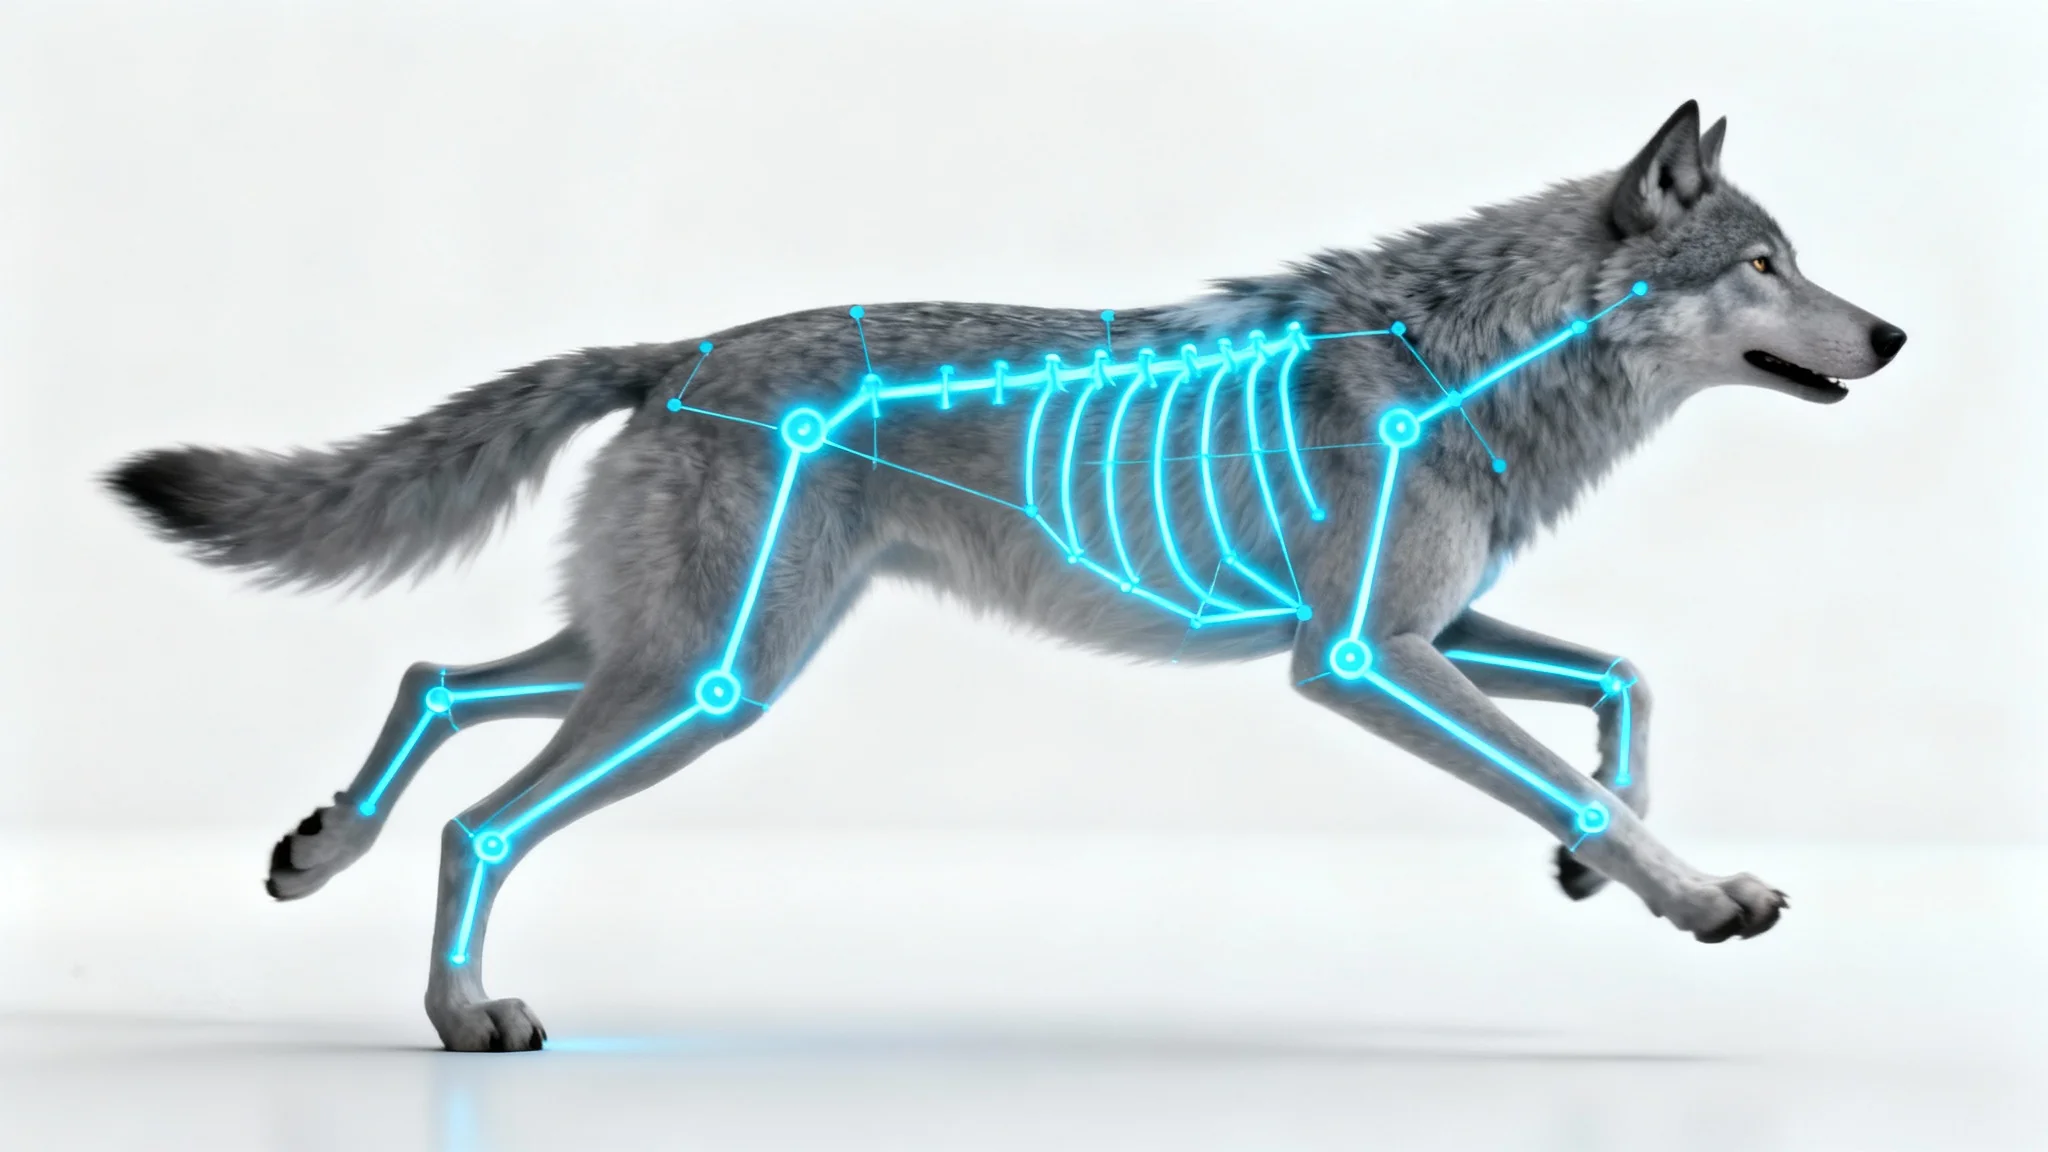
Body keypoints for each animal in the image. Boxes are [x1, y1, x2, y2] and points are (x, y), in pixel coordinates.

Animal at [106, 101, 1906, 1051]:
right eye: (1764, 262)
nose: (1890, 335)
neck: (1466, 357)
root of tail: (676, 351)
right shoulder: (1360, 657)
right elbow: (1575, 767)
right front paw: (1692, 896)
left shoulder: (1433, 627)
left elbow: (1620, 689)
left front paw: (1602, 874)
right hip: (710, 682)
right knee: (481, 815)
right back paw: (466, 1014)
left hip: (670, 654)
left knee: (433, 680)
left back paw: (315, 853)